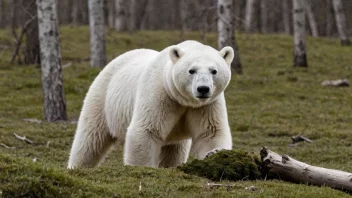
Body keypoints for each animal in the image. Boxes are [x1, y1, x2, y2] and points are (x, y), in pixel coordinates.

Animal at [67, 40, 235, 169]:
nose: (203, 89)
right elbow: (146, 130)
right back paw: (77, 166)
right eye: (191, 70)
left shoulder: (207, 105)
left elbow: (210, 132)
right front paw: (142, 167)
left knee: (175, 150)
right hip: (103, 98)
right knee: (90, 138)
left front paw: (214, 154)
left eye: (214, 71)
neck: (182, 99)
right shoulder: (159, 94)